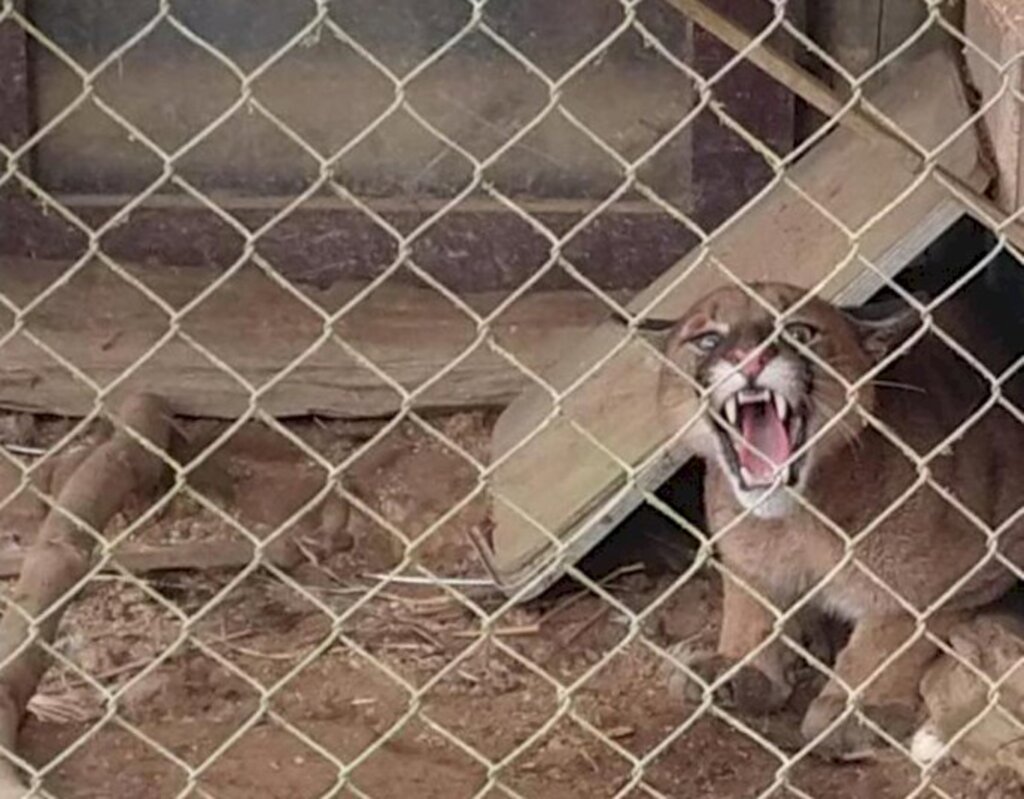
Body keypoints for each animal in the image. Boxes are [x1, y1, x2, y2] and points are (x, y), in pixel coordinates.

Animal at [634, 282, 1024, 762]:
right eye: (707, 339)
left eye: (800, 332)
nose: (750, 358)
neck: (796, 521)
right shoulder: (744, 559)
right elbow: (748, 603)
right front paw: (739, 664)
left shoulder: (973, 572)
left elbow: (891, 636)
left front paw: (854, 709)